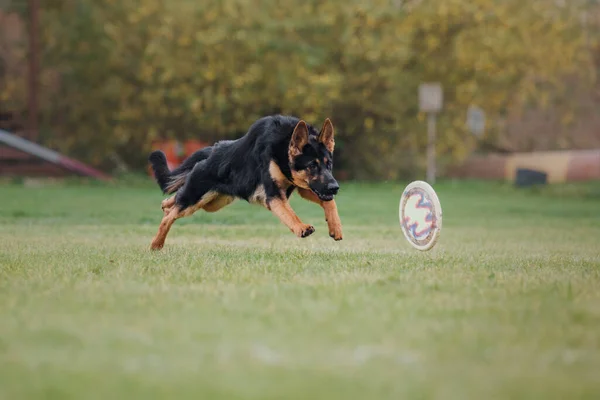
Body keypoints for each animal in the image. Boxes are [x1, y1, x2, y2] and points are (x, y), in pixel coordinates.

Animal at [149, 113, 342, 250]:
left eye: (329, 164)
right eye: (312, 165)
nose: (335, 188)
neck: (283, 150)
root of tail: (211, 151)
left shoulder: (305, 187)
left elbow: (330, 203)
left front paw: (335, 227)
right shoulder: (274, 195)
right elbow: (289, 213)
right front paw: (301, 227)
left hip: (212, 203)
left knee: (172, 204)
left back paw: (165, 206)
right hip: (196, 199)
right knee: (170, 216)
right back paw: (156, 244)